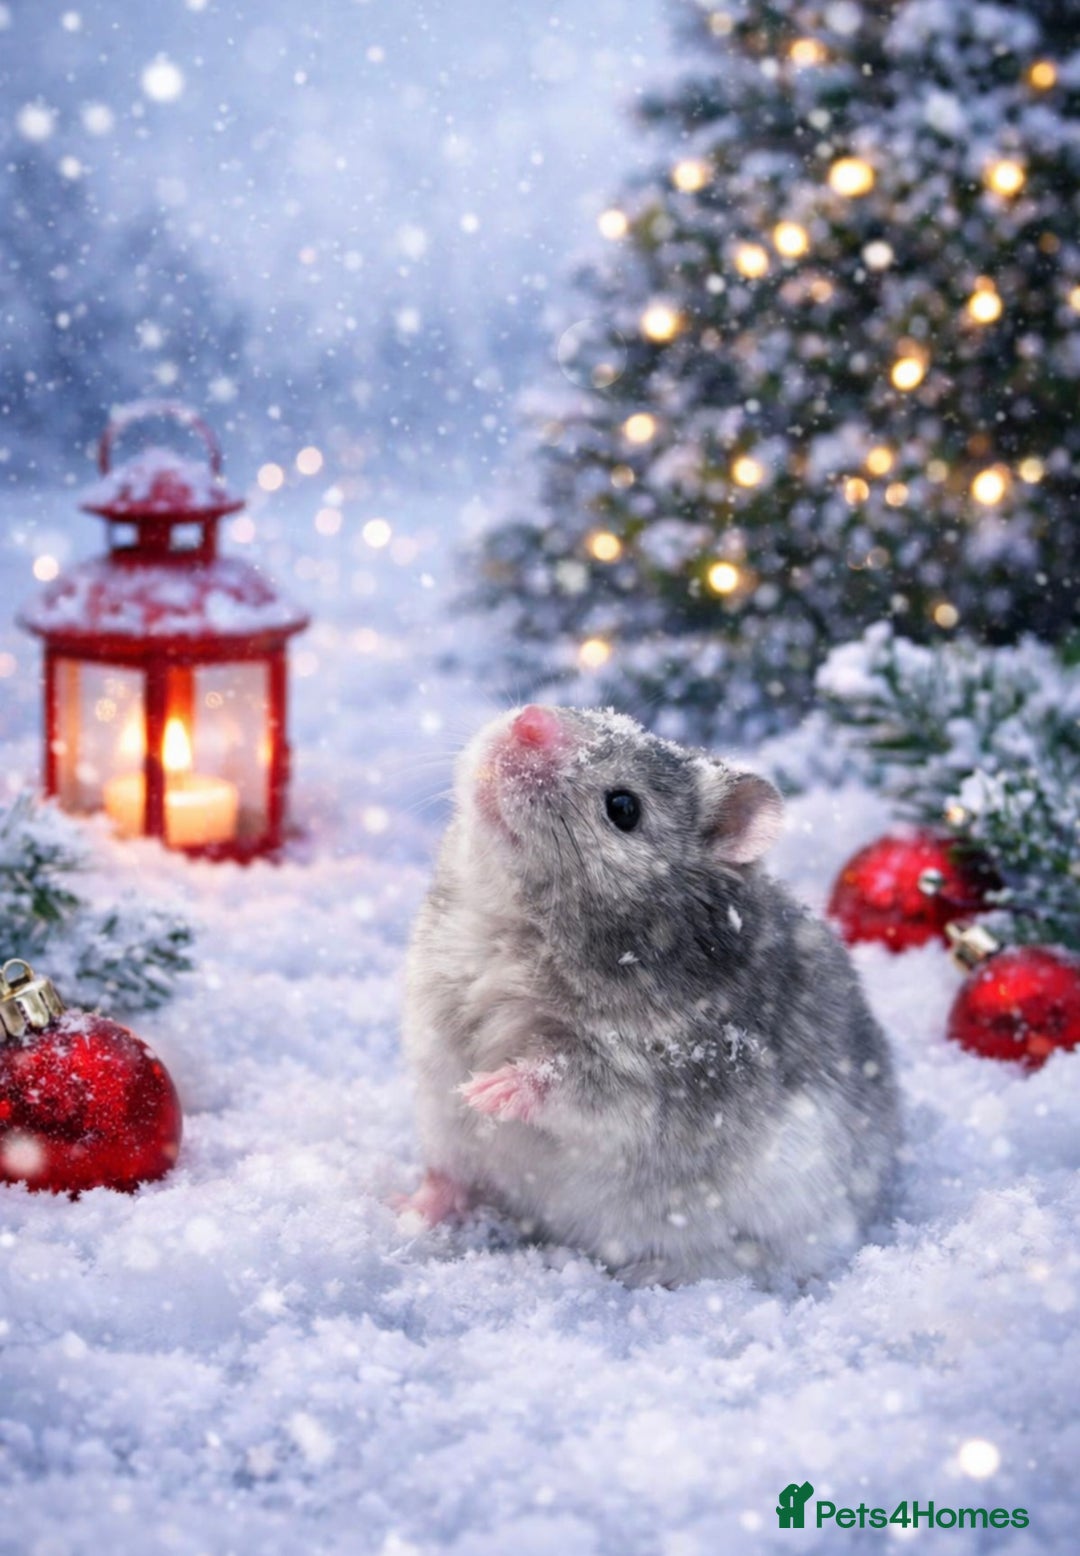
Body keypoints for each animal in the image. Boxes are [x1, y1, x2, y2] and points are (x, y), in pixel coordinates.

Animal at [400, 704, 900, 1288]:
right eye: (595, 712)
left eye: (624, 808)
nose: (531, 719)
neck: (515, 920)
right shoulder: (432, 1013)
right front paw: (471, 1091)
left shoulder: (647, 1072)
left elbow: (566, 1078)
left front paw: (490, 1090)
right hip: (443, 1135)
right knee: (446, 1179)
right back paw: (406, 1211)